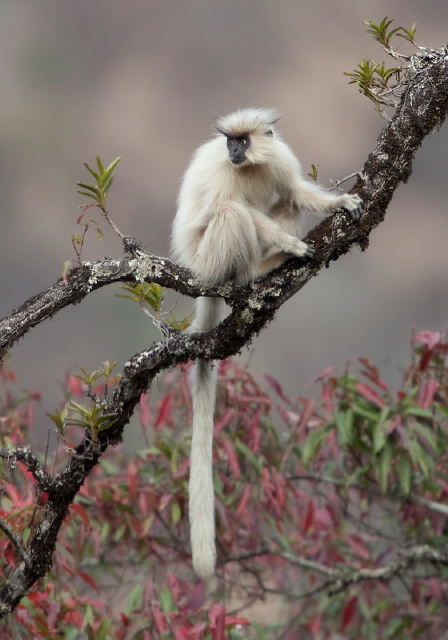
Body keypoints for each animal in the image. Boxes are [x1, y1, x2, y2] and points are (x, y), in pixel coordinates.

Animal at [172, 107, 364, 576]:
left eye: (243, 141)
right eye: (231, 142)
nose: (233, 150)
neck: (249, 166)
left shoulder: (276, 159)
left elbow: (293, 191)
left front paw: (338, 203)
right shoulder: (226, 174)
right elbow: (232, 206)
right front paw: (292, 243)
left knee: (285, 202)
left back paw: (268, 264)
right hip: (209, 259)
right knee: (230, 213)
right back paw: (253, 274)